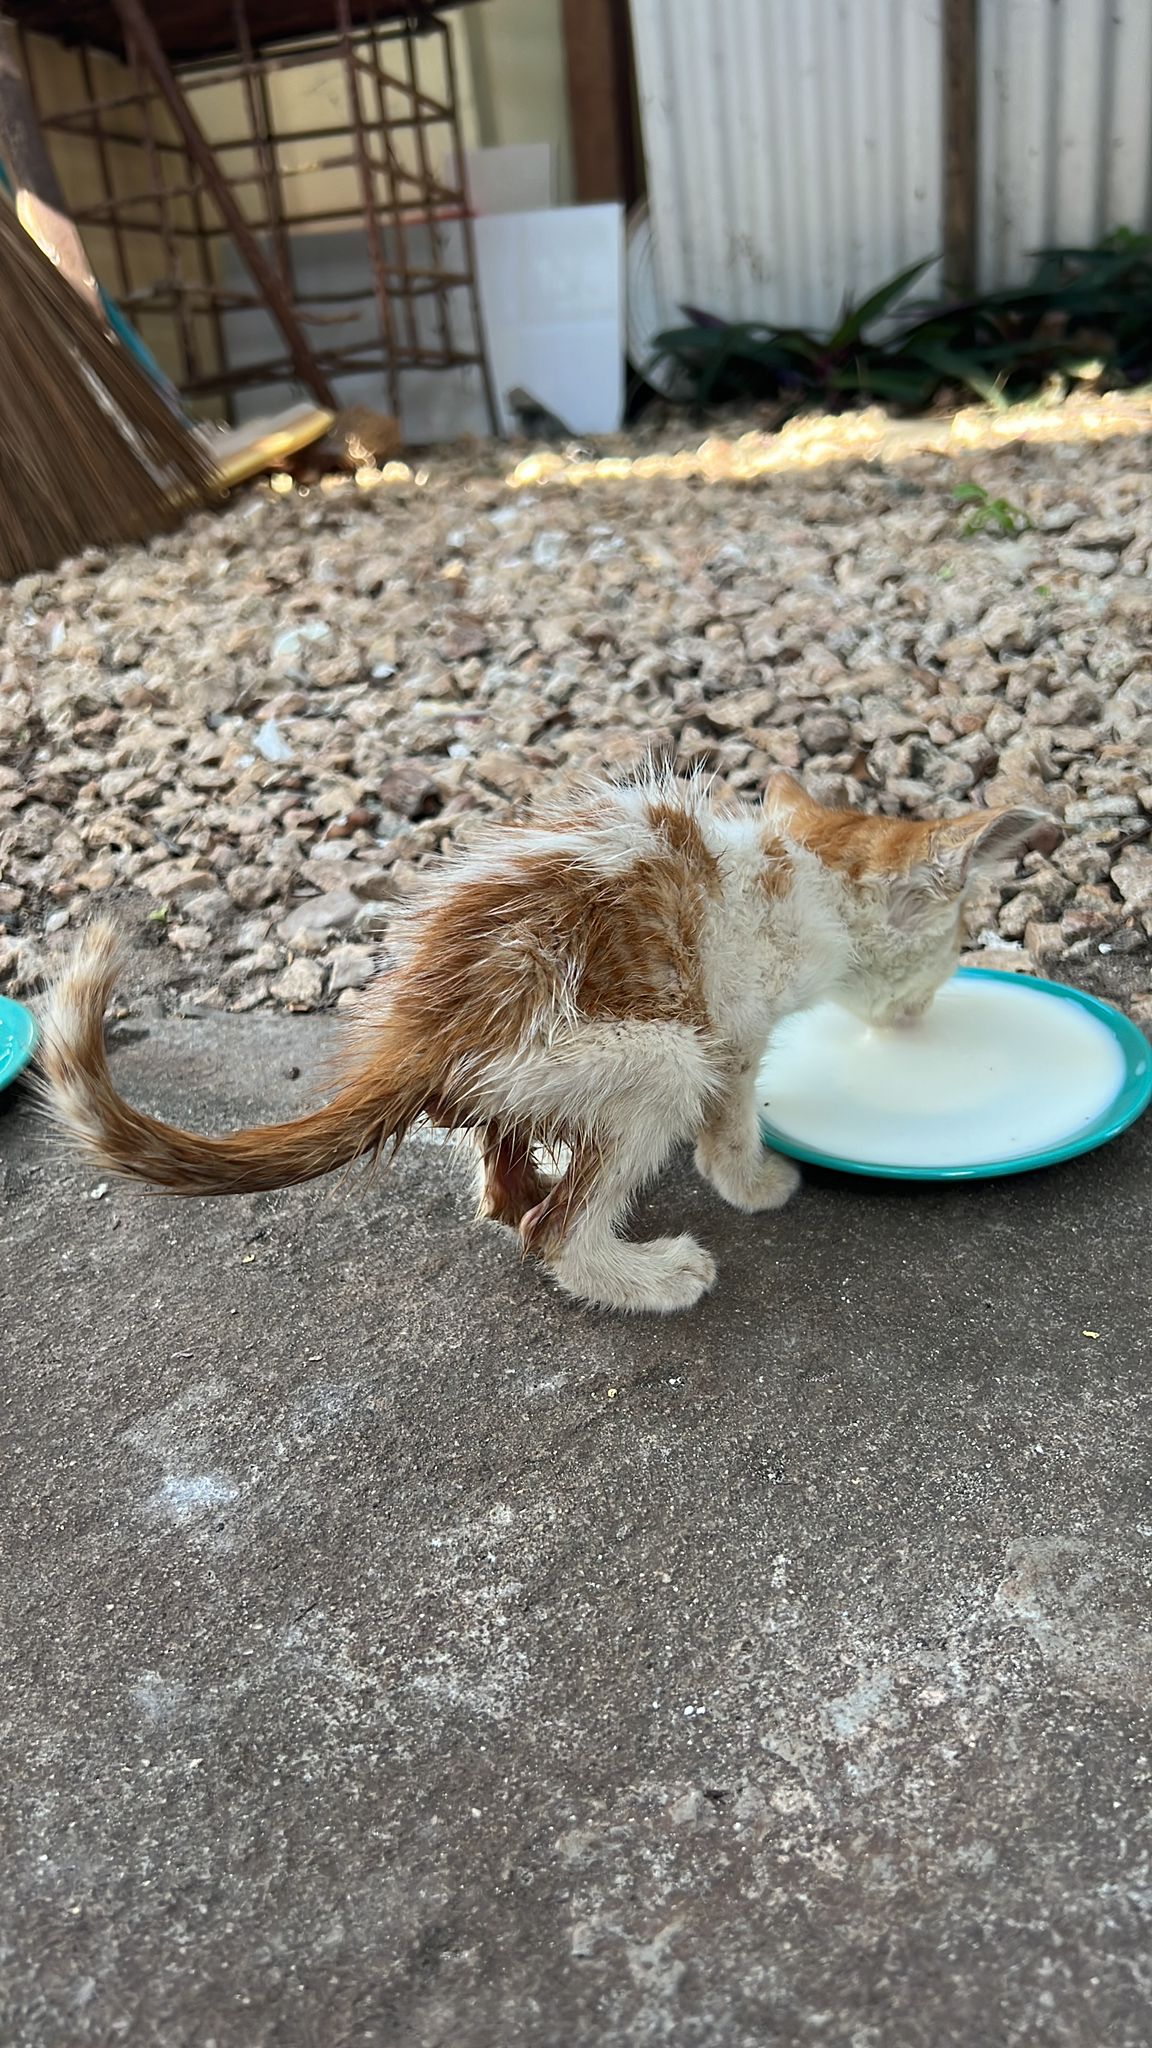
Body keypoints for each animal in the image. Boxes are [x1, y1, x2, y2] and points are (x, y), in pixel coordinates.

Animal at [38, 774, 1049, 1318]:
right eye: (958, 944)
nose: (924, 1011)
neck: (803, 871)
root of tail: (419, 1031)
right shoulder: (729, 1033)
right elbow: (731, 1121)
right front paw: (754, 1183)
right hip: (650, 1056)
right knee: (551, 1232)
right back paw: (645, 1275)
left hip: (527, 1067)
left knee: (501, 1186)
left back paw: (527, 1179)